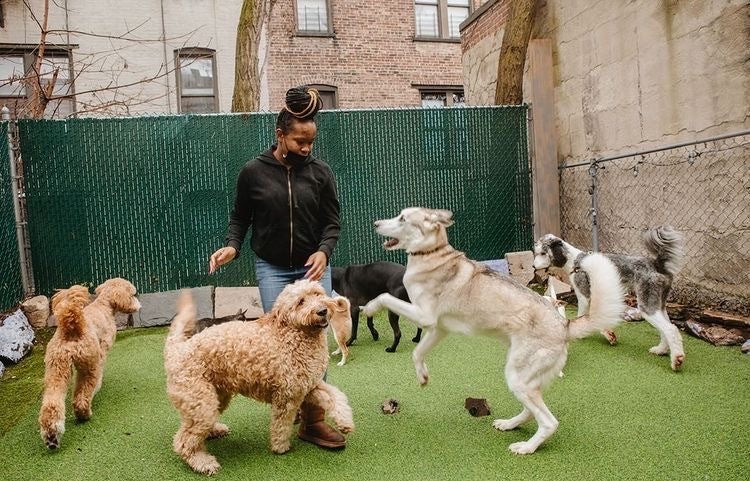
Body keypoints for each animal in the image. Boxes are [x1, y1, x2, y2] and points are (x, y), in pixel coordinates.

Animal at [39, 280, 142, 448]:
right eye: (133, 294)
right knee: (81, 397)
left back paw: (52, 436)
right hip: (89, 364)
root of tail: (72, 326)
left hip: (57, 367)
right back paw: (84, 414)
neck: (104, 305)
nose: (139, 305)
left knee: (52, 402)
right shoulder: (102, 350)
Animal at [166, 280, 354, 474]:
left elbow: (336, 397)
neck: (293, 334)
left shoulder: (310, 385)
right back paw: (203, 462)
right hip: (202, 402)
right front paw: (280, 447)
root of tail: (178, 349)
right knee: (183, 440)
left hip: (214, 397)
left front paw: (345, 422)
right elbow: (281, 425)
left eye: (317, 294)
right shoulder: (287, 395)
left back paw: (214, 431)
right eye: (301, 302)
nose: (322, 311)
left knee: (191, 426)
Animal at [536, 227, 688, 370]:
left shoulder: (583, 296)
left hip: (647, 305)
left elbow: (582, 316)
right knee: (667, 327)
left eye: (543, 253)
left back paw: (676, 360)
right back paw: (661, 350)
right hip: (658, 303)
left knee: (671, 329)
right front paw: (608, 334)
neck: (574, 260)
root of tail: (657, 264)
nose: (533, 266)